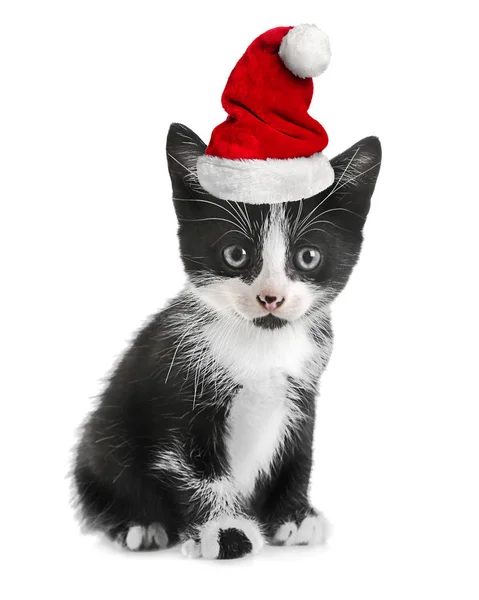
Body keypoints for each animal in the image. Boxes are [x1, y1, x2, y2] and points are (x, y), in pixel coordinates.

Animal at [73, 124, 382, 560]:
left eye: (308, 256)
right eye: (236, 253)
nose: (271, 297)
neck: (260, 345)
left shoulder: (303, 389)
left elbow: (298, 451)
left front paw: (294, 517)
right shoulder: (179, 386)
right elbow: (194, 467)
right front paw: (226, 532)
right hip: (103, 439)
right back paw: (138, 524)